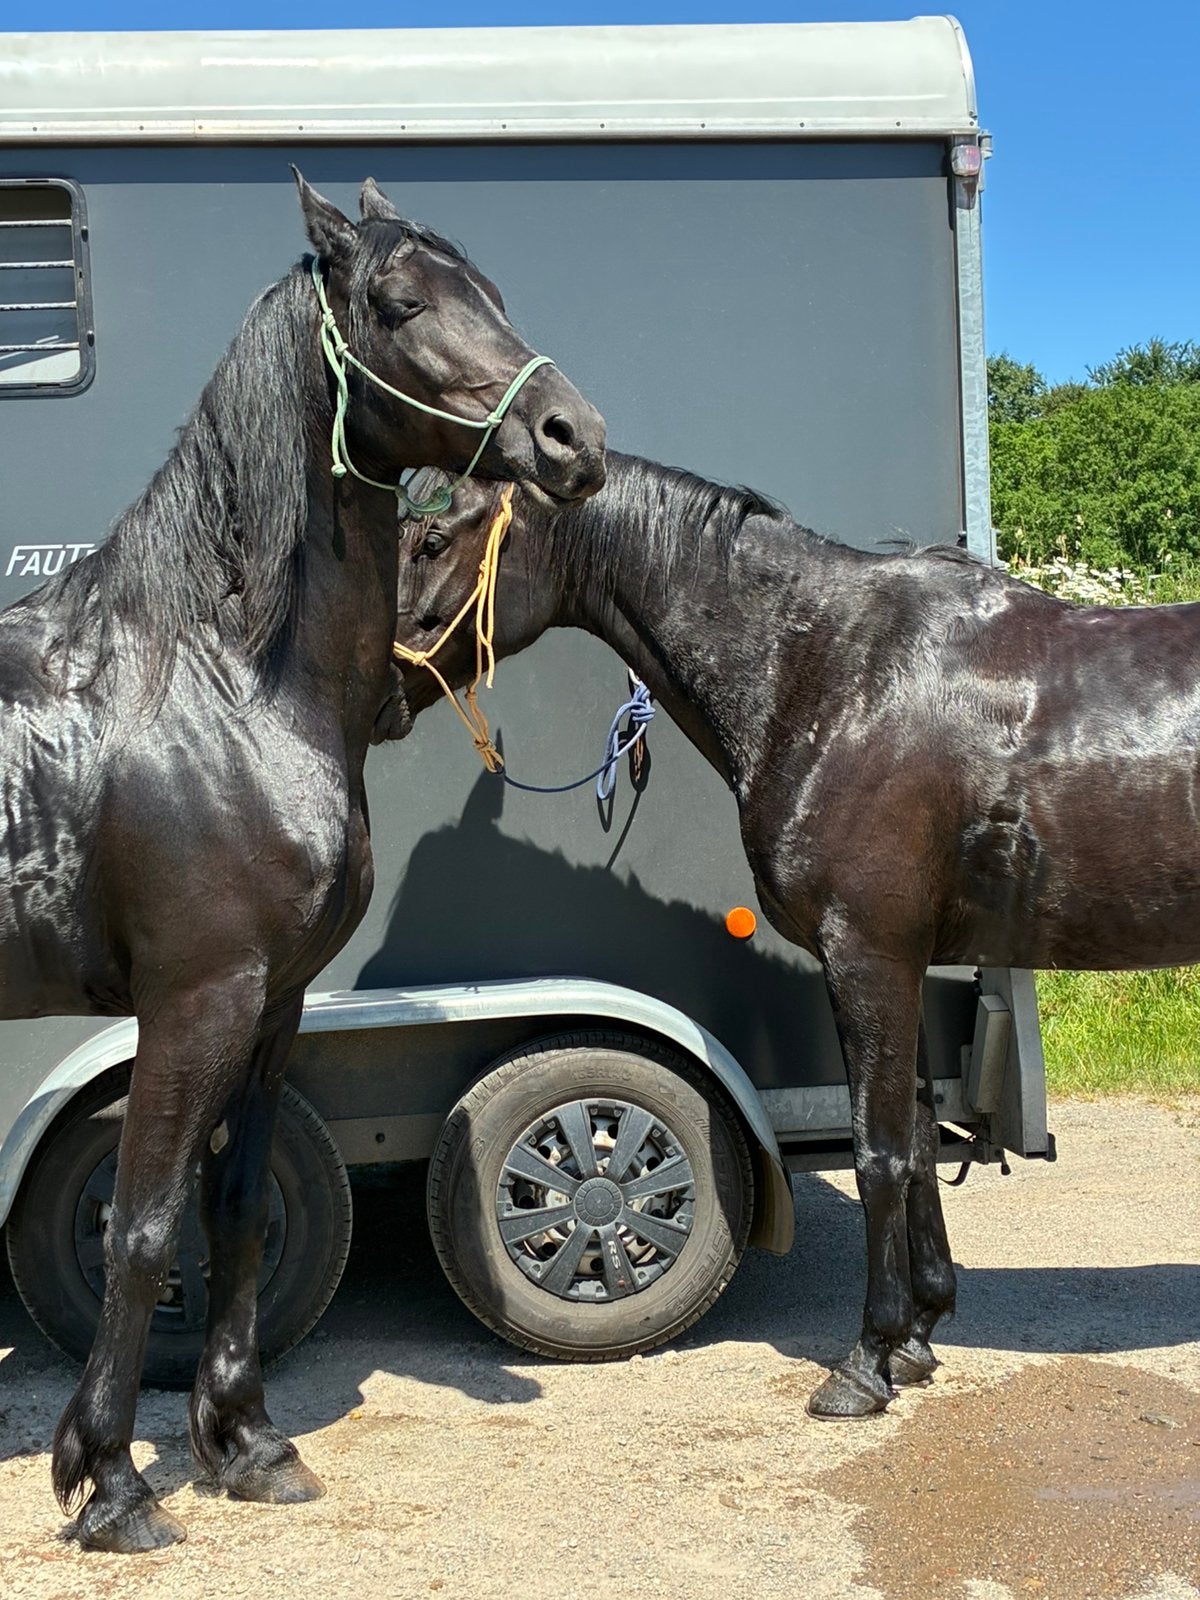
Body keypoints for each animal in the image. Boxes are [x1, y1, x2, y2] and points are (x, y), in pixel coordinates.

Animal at [0, 172, 605, 1552]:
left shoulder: (272, 1004)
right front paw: (110, 1482)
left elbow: (232, 1211)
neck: (223, 682)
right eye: (400, 303)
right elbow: (142, 1227)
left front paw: (246, 1443)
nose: (573, 437)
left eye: (490, 288)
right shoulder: (194, 1000)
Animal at [390, 450, 1200, 1420]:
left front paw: (867, 1361)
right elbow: (916, 1140)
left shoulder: (867, 957)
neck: (831, 670)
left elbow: (878, 1152)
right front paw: (921, 1336)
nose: (371, 686)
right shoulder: (899, 965)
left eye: (434, 539)